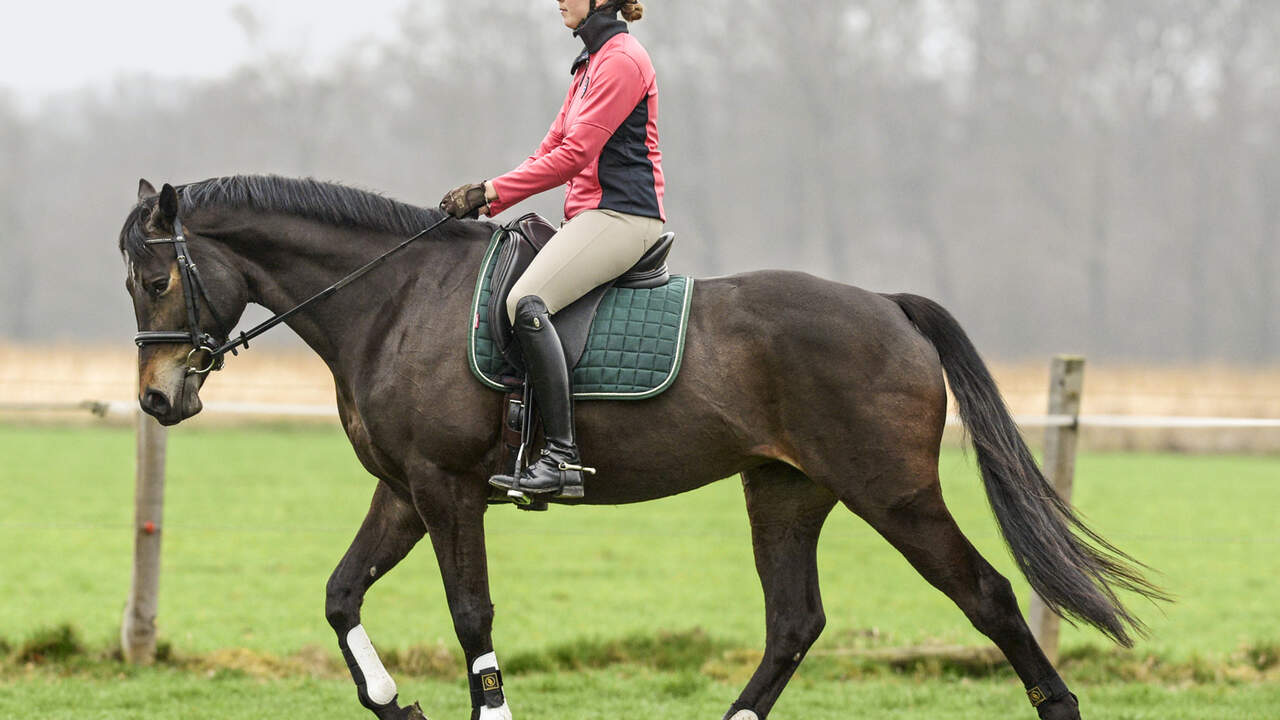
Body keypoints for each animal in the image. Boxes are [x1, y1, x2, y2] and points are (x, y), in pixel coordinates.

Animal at [120, 175, 1165, 720]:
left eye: (158, 277)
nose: (158, 398)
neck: (395, 301)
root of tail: (888, 305)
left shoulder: (446, 488)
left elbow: (471, 613)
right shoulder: (404, 491)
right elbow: (341, 595)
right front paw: (394, 704)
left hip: (894, 494)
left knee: (986, 595)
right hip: (784, 490)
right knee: (795, 621)